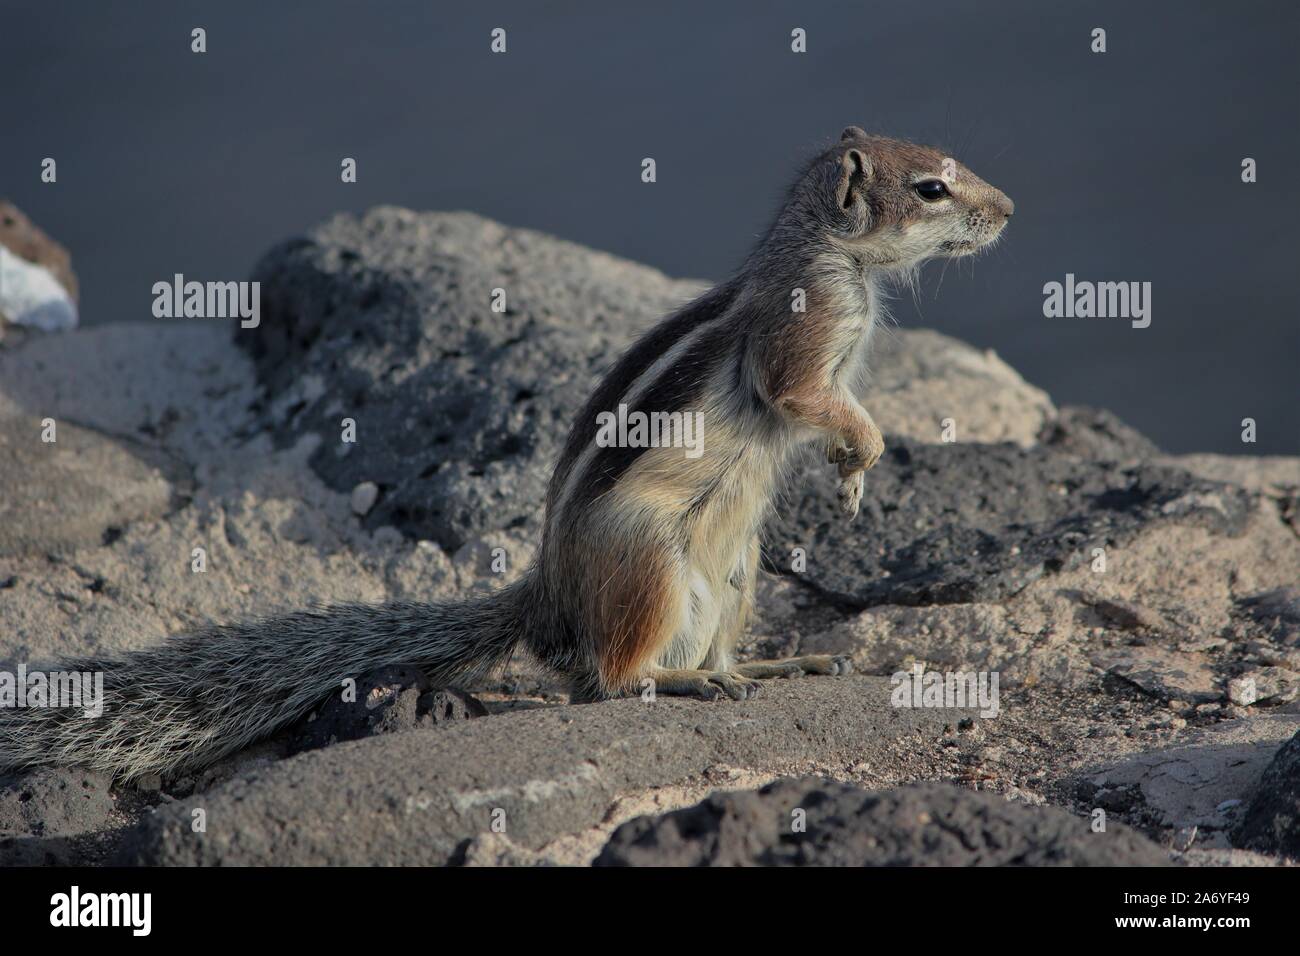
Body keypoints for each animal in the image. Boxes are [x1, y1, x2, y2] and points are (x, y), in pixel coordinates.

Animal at [0, 127, 1013, 780]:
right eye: (931, 187)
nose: (1008, 208)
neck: (831, 253)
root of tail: (549, 596)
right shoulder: (803, 338)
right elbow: (808, 399)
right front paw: (863, 452)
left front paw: (852, 476)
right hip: (652, 562)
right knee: (606, 683)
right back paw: (684, 681)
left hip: (739, 568)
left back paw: (761, 667)